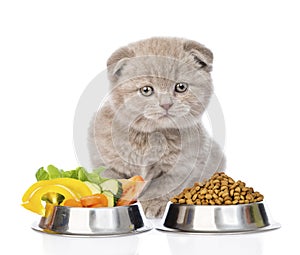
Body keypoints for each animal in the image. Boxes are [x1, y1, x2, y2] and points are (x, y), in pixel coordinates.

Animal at [88, 36, 225, 218]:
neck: (151, 137)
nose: (166, 104)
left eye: (181, 87)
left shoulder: (182, 168)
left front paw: (150, 206)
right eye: (146, 90)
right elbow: (112, 179)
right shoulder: (104, 159)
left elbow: (161, 187)